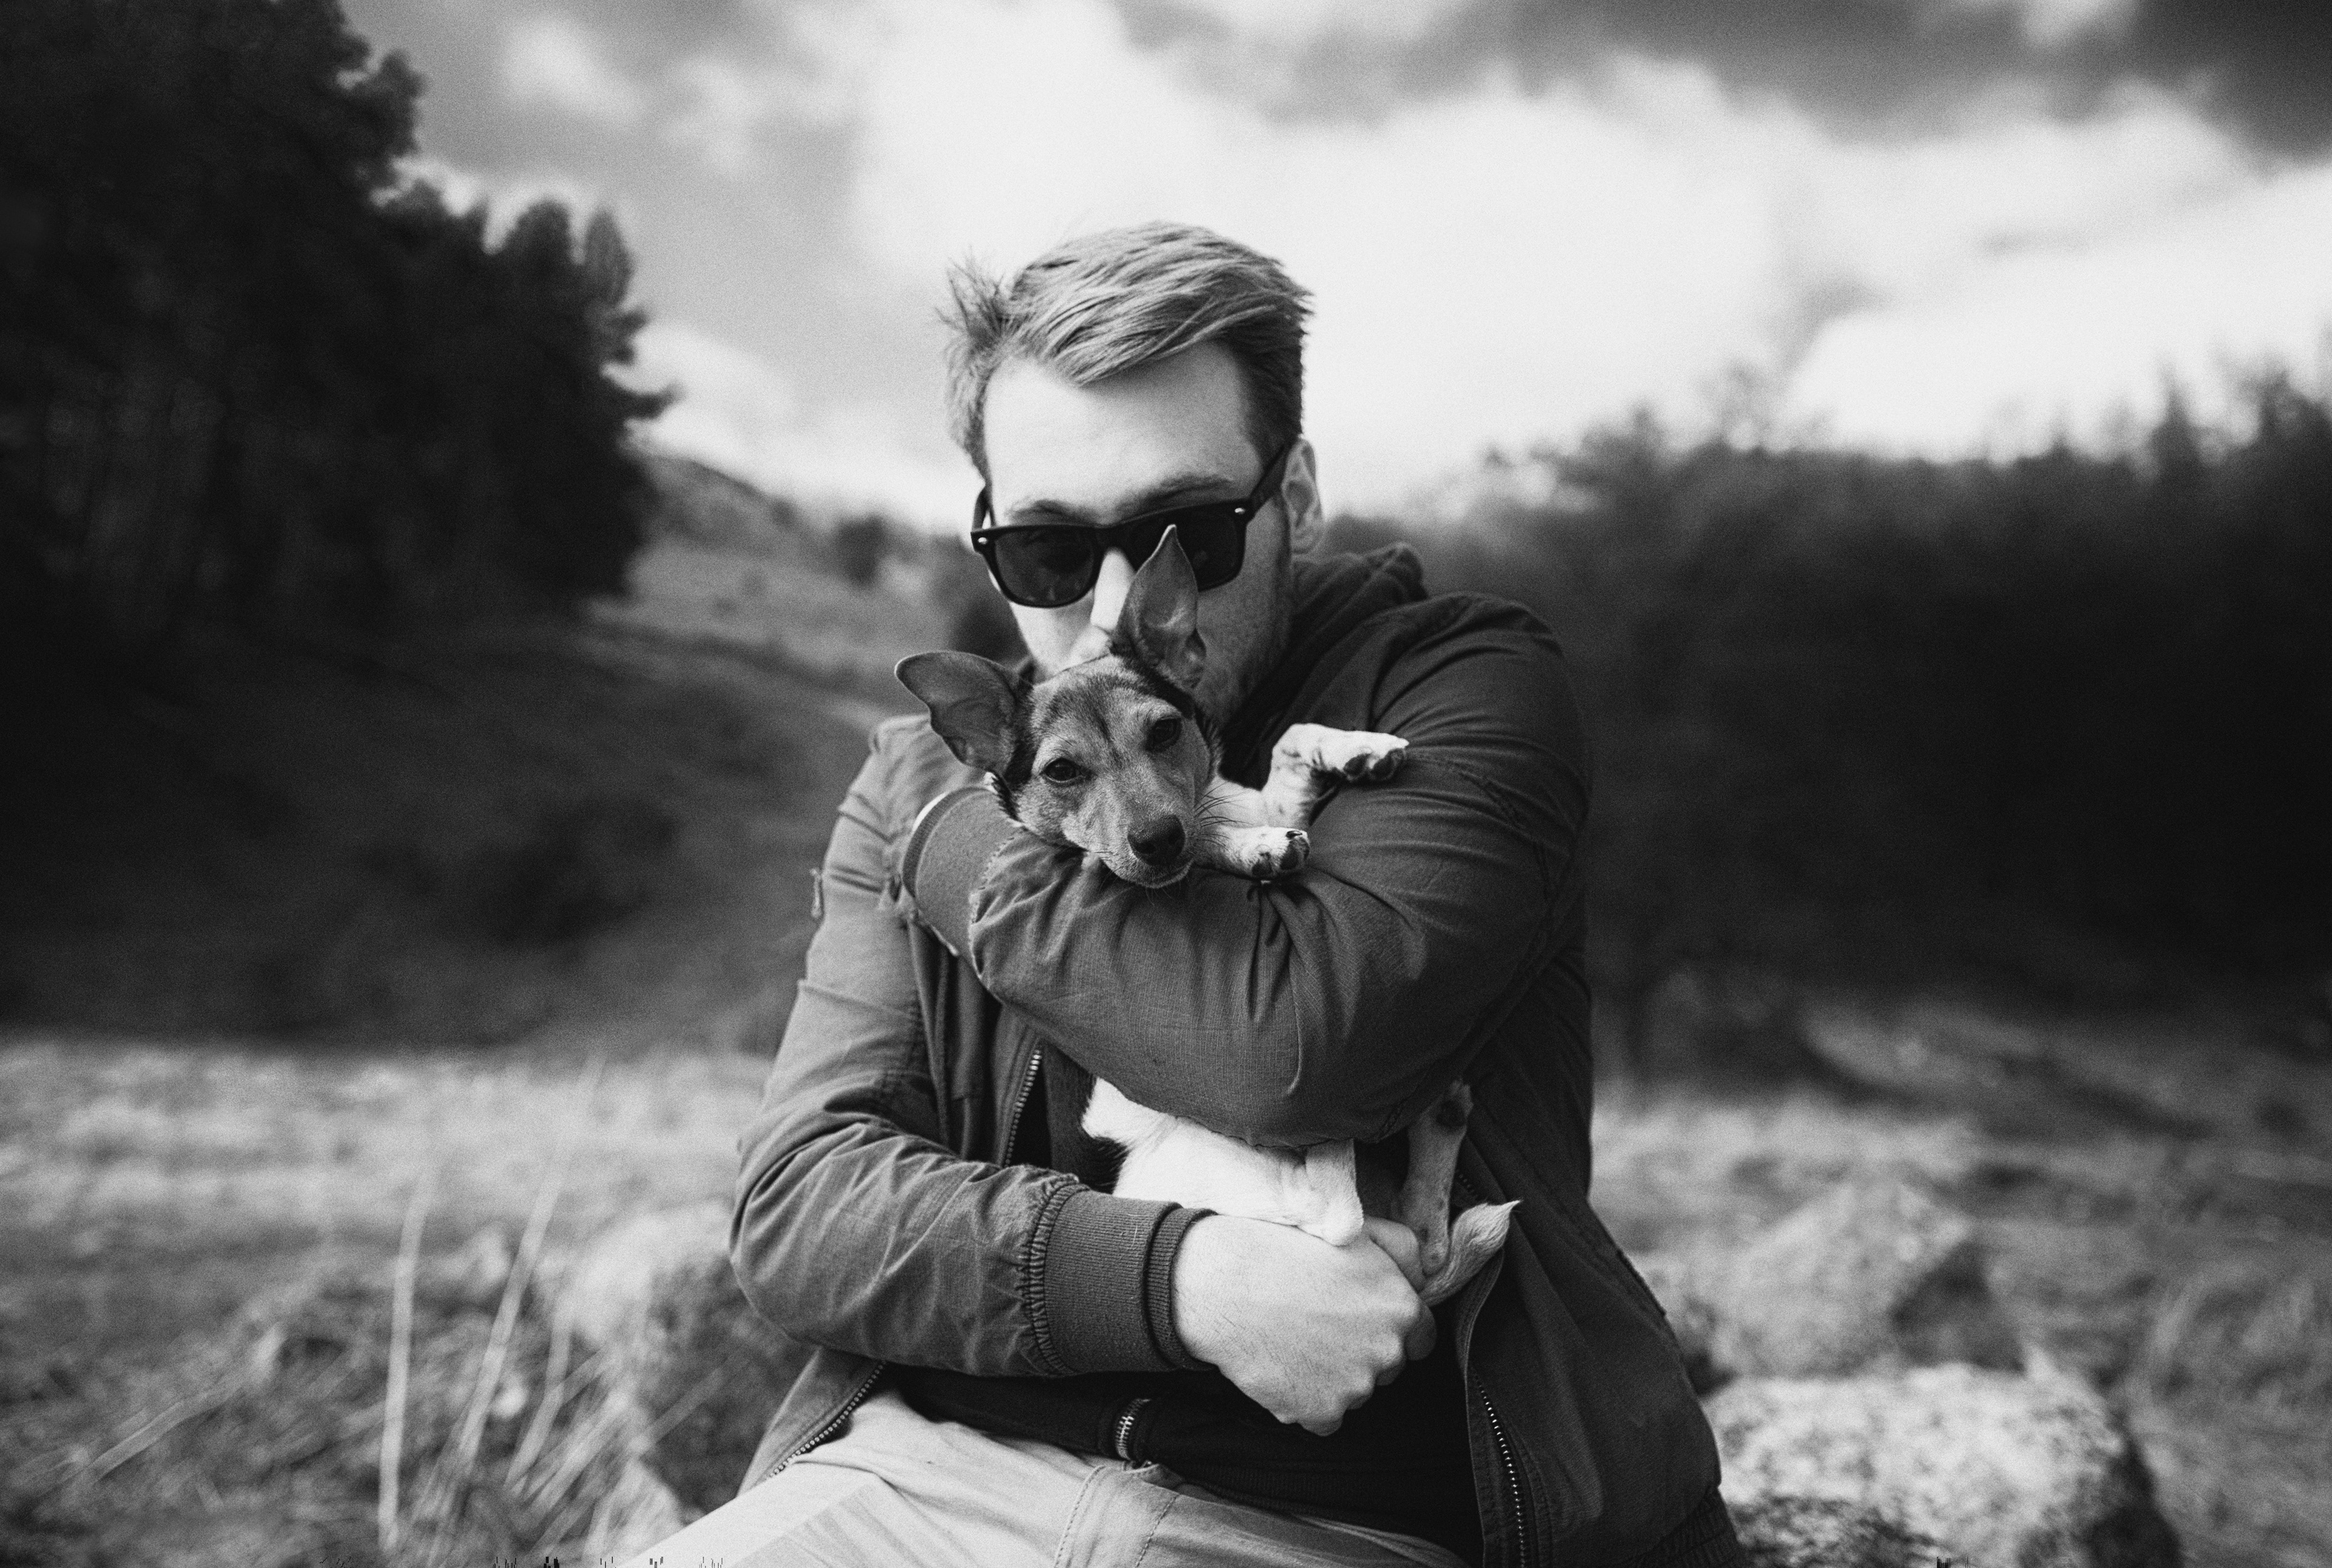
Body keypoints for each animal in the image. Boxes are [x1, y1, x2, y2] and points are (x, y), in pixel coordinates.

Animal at [897, 529, 1513, 1305]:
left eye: (1165, 731)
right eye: (1061, 771)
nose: (1158, 838)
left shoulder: (1252, 794)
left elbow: (1290, 739)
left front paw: (1354, 747)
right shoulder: (1116, 860)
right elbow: (1208, 841)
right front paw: (1253, 847)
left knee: (1423, 1229)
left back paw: (1439, 1123)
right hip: (1189, 1156)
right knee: (1334, 1211)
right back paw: (1338, 1138)